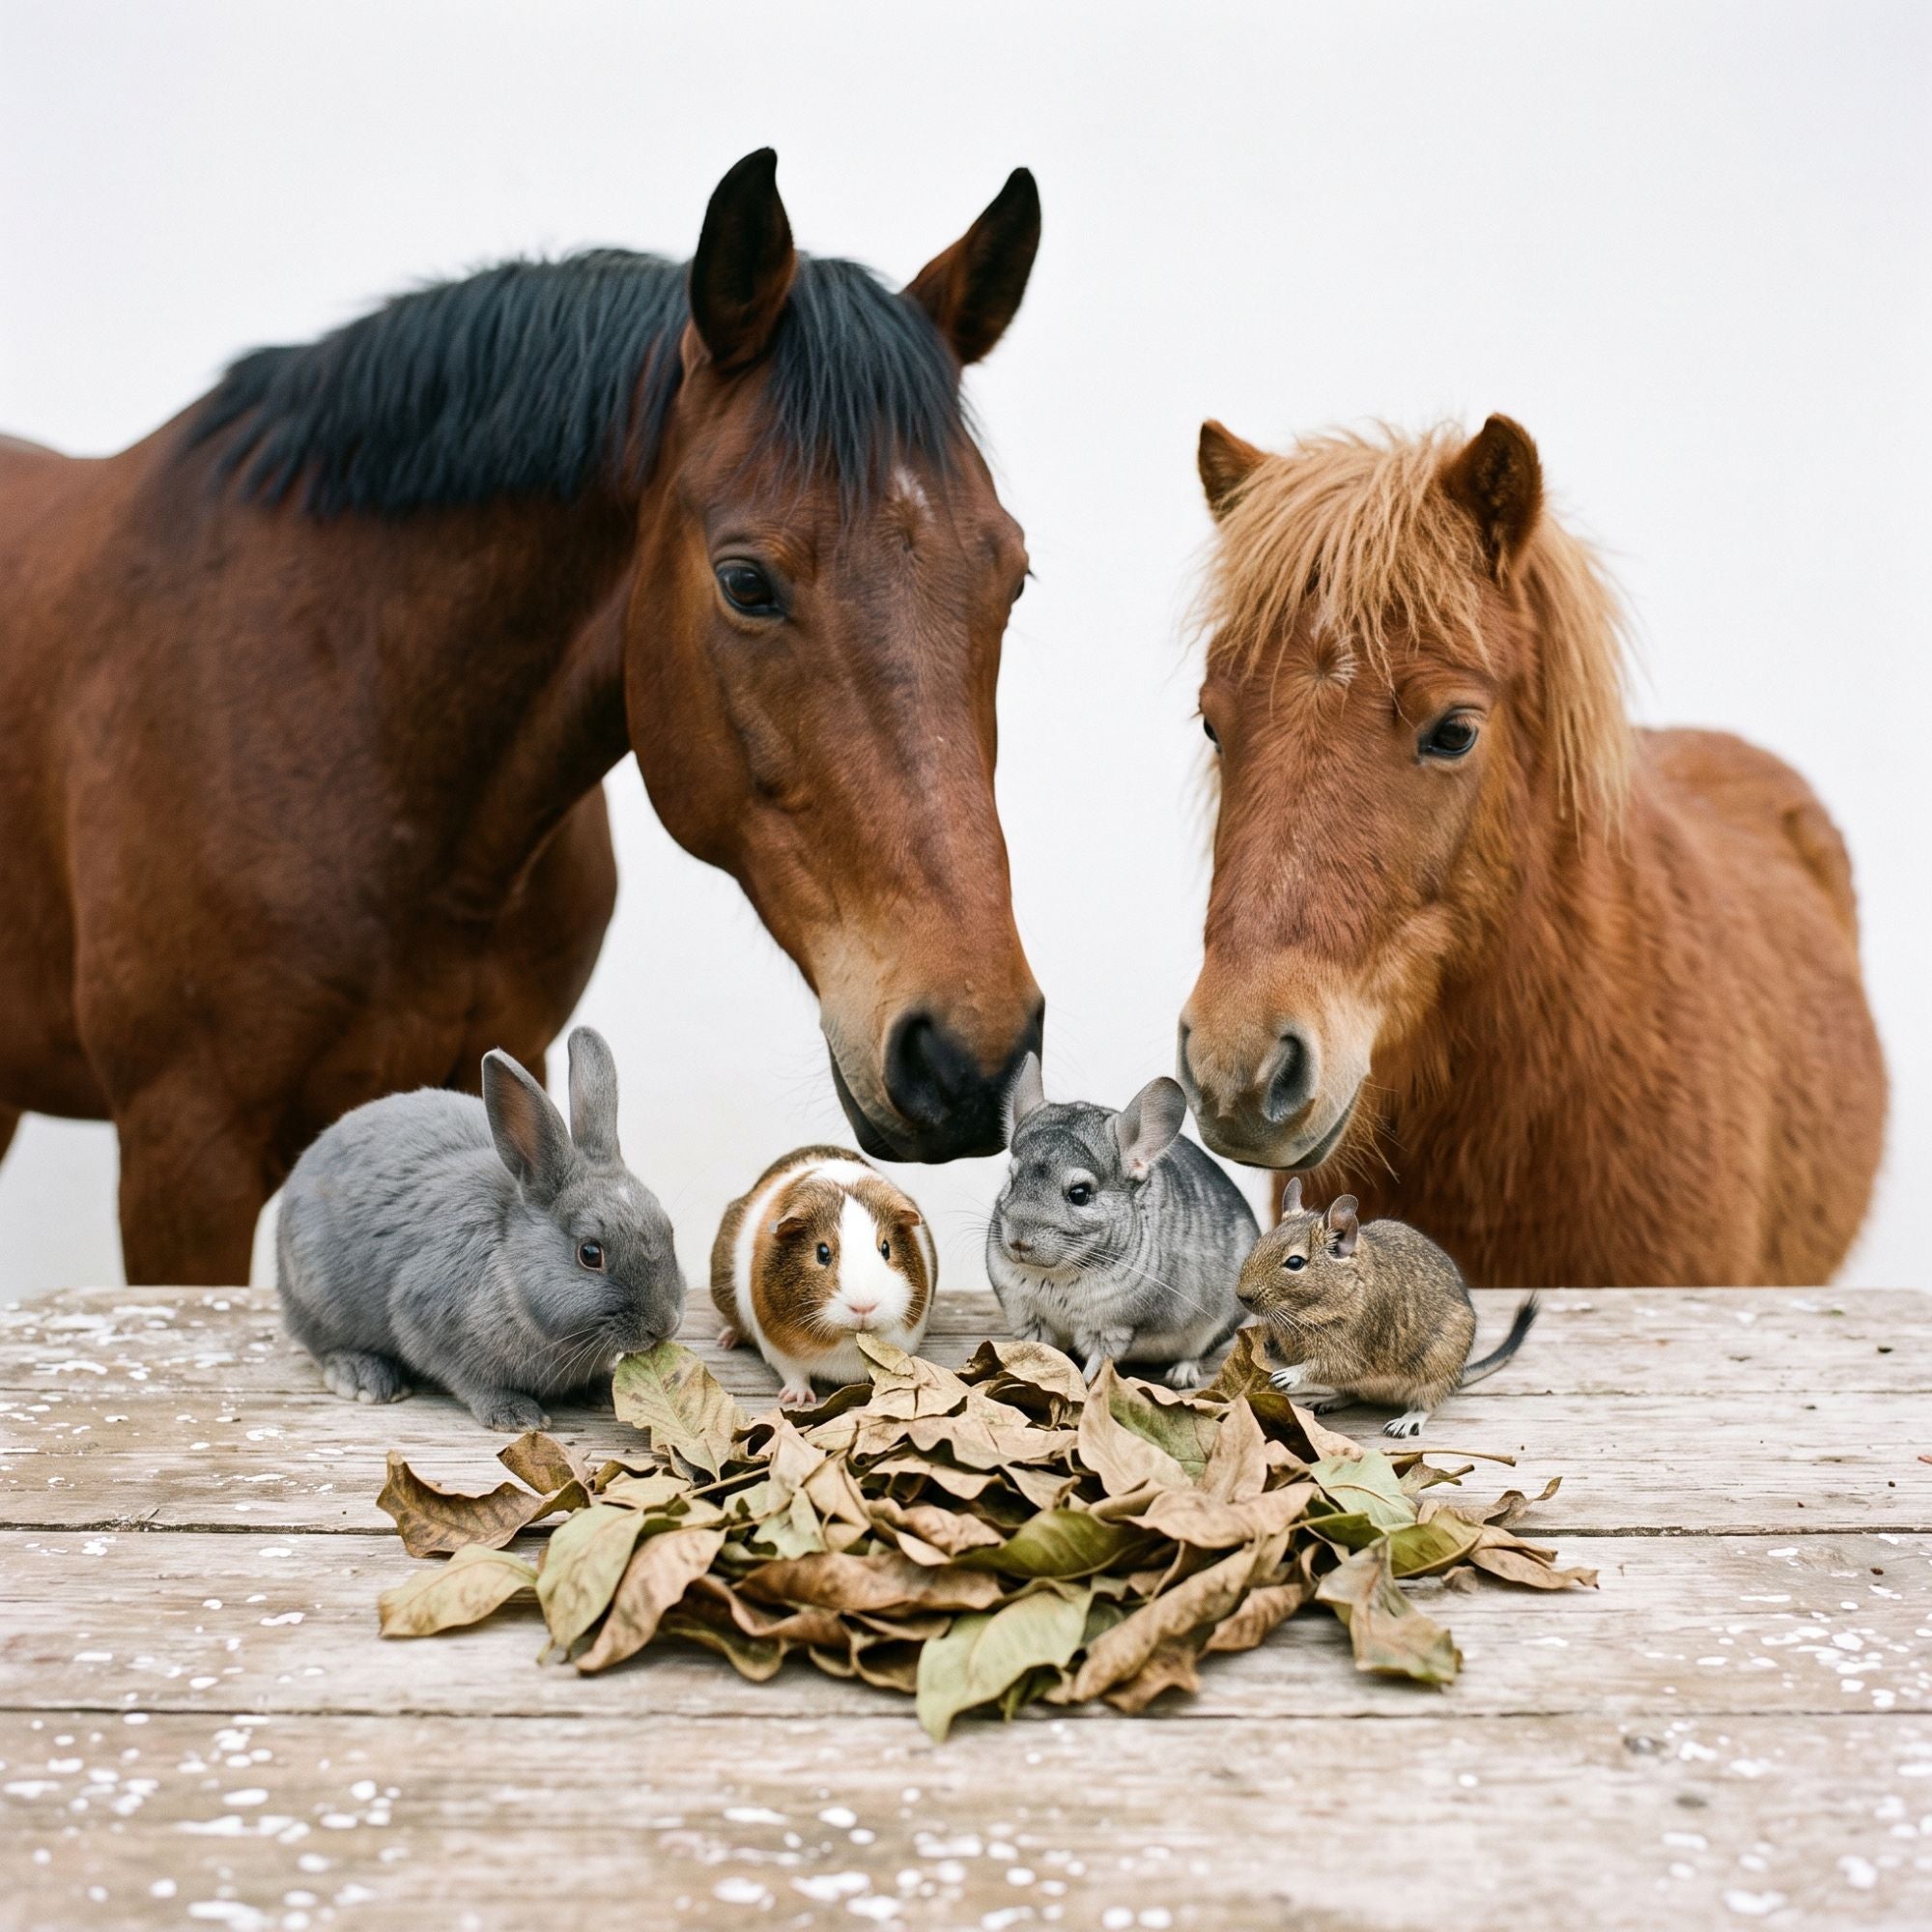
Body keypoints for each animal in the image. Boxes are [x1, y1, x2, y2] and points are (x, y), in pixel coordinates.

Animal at [276, 1026, 685, 1431]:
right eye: (590, 1253)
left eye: (669, 1230)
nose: (665, 1325)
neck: (511, 1272)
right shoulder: (428, 1326)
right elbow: (471, 1381)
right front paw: (516, 1416)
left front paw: (601, 1390)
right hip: (317, 1297)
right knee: (322, 1343)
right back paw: (364, 1378)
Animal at [711, 1145, 935, 1406]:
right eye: (822, 1252)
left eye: (886, 1248)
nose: (864, 1308)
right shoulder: (780, 1352)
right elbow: (795, 1375)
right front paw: (797, 1400)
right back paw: (726, 1340)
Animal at [986, 1053, 1256, 1388]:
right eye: (1011, 1180)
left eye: (1079, 1193)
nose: (1018, 1242)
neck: (1055, 1279)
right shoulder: (1025, 1313)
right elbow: (1037, 1350)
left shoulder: (1111, 1326)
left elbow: (1096, 1363)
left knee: (1196, 1352)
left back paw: (1182, 1375)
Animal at [1235, 1180, 1539, 1437]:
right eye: (1260, 1243)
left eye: (1295, 1263)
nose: (1241, 1296)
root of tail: (1459, 1374)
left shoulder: (1351, 1352)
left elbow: (1323, 1366)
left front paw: (1289, 1375)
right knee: (1355, 1393)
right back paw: (1331, 1400)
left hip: (1435, 1371)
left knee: (1428, 1403)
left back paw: (1406, 1421)